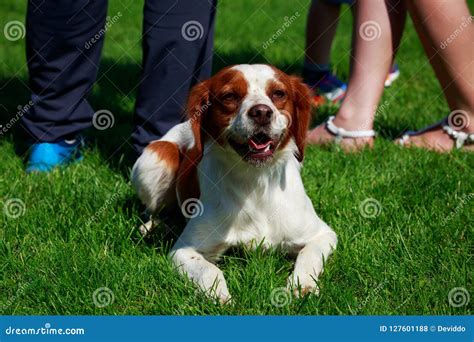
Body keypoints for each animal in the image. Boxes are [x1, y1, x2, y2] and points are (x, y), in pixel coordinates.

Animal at [131, 64, 336, 302]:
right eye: (229, 96)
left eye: (278, 93)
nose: (261, 112)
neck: (255, 182)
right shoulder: (184, 250)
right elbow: (209, 269)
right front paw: (219, 294)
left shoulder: (323, 234)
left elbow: (308, 255)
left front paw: (303, 285)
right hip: (157, 156)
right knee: (153, 210)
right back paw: (153, 227)